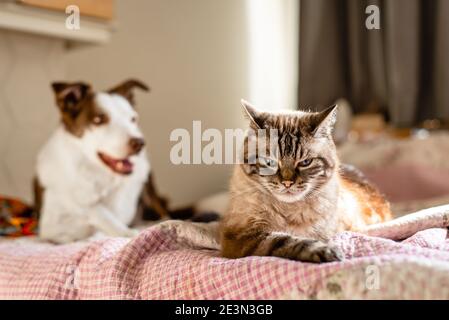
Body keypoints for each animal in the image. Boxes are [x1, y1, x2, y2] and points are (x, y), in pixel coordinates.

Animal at [33, 79, 180, 242]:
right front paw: (125, 232)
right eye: (98, 120)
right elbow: (95, 211)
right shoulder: (51, 228)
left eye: (133, 119)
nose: (140, 143)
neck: (102, 176)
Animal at [219, 101, 390, 264]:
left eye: (305, 162)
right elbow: (287, 240)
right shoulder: (242, 237)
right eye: (270, 162)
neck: (288, 209)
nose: (287, 183)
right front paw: (326, 251)